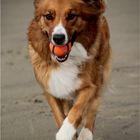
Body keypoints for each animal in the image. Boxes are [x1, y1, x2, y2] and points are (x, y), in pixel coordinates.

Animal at [27, 0, 112, 139]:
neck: (66, 60)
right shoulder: (50, 87)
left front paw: (65, 132)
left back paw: (86, 133)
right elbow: (59, 115)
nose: (58, 38)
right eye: (48, 16)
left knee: (93, 106)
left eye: (72, 16)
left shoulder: (90, 86)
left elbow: (78, 109)